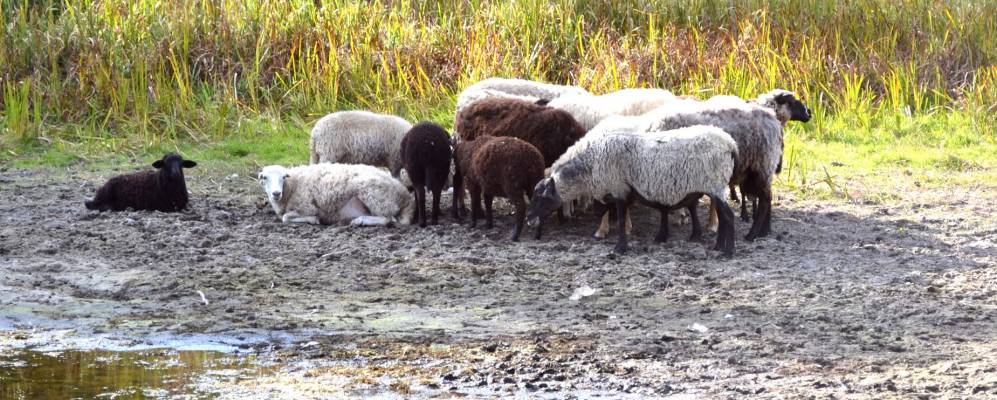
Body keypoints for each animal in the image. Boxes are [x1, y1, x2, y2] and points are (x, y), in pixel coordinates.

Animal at [258, 162, 414, 225]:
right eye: (264, 177)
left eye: (284, 177)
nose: (276, 193)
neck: (294, 184)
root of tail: (403, 193)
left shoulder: (307, 207)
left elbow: (286, 217)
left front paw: (314, 220)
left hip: (376, 197)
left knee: (387, 219)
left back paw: (360, 221)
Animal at [524, 125, 736, 256]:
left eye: (540, 197)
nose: (528, 218)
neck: (590, 167)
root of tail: (730, 143)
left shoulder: (619, 189)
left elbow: (620, 221)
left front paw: (619, 248)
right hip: (715, 186)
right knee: (723, 216)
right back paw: (718, 247)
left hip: (716, 183)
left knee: (729, 216)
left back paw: (728, 252)